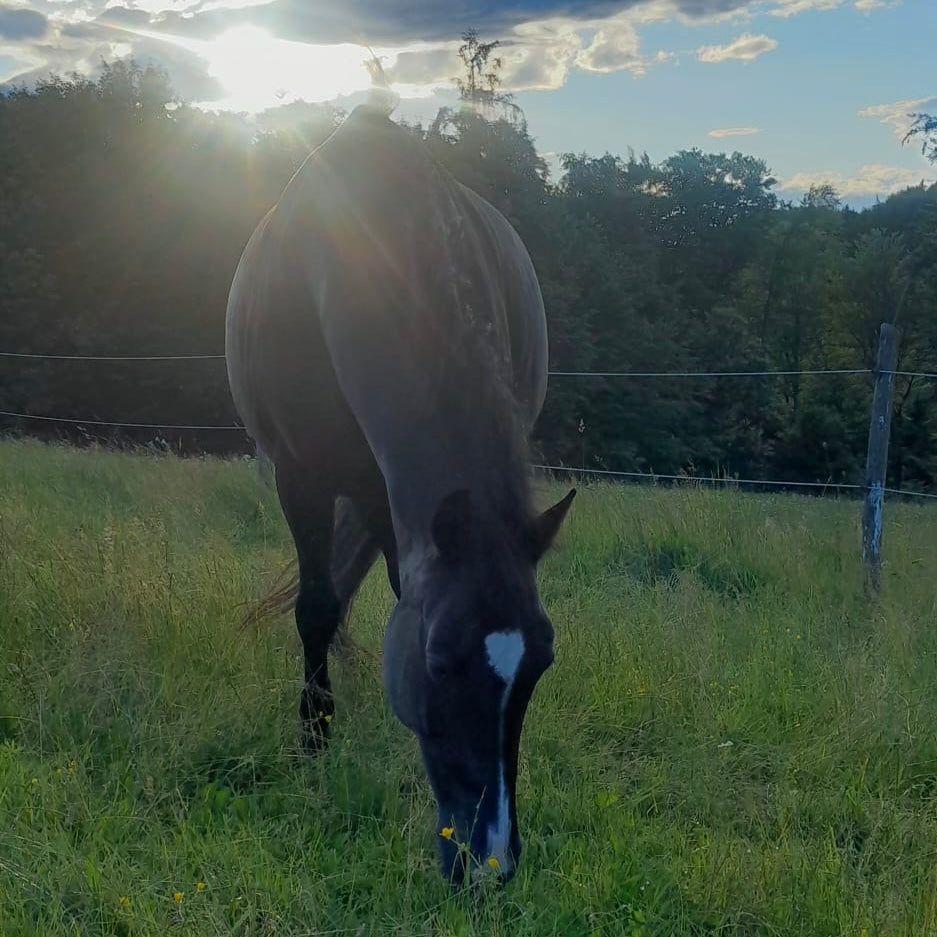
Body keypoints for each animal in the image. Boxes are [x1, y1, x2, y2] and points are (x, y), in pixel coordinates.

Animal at [224, 88, 575, 885]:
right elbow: (317, 608)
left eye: (541, 662)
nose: (490, 863)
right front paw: (314, 742)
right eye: (439, 661)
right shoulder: (301, 475)